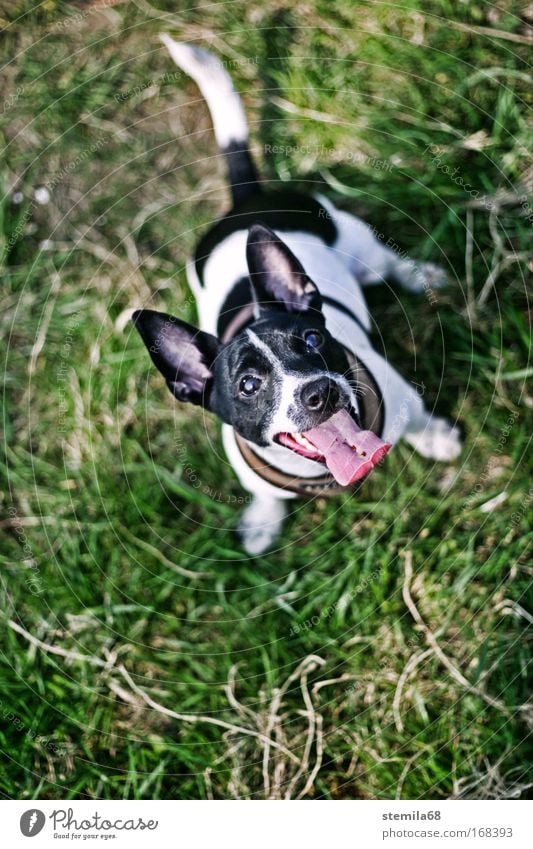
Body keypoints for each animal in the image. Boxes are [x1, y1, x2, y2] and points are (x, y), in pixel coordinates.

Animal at [131, 36, 460, 556]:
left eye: (311, 340)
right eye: (248, 384)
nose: (319, 392)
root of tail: (247, 200)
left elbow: (421, 419)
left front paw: (436, 438)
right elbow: (265, 495)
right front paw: (263, 521)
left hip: (354, 239)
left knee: (388, 263)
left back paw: (420, 274)